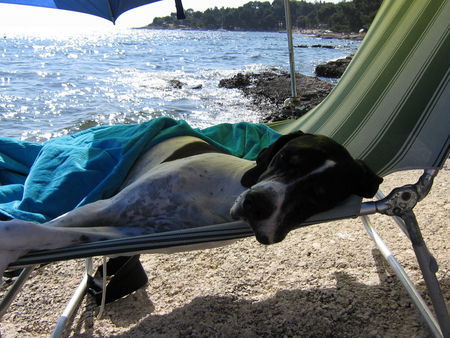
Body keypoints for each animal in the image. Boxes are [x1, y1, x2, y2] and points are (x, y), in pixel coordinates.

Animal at [0, 131, 382, 278]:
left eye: (319, 194)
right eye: (287, 159)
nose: (257, 204)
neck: (218, 195)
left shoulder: (131, 230)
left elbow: (56, 234)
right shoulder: (106, 206)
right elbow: (46, 225)